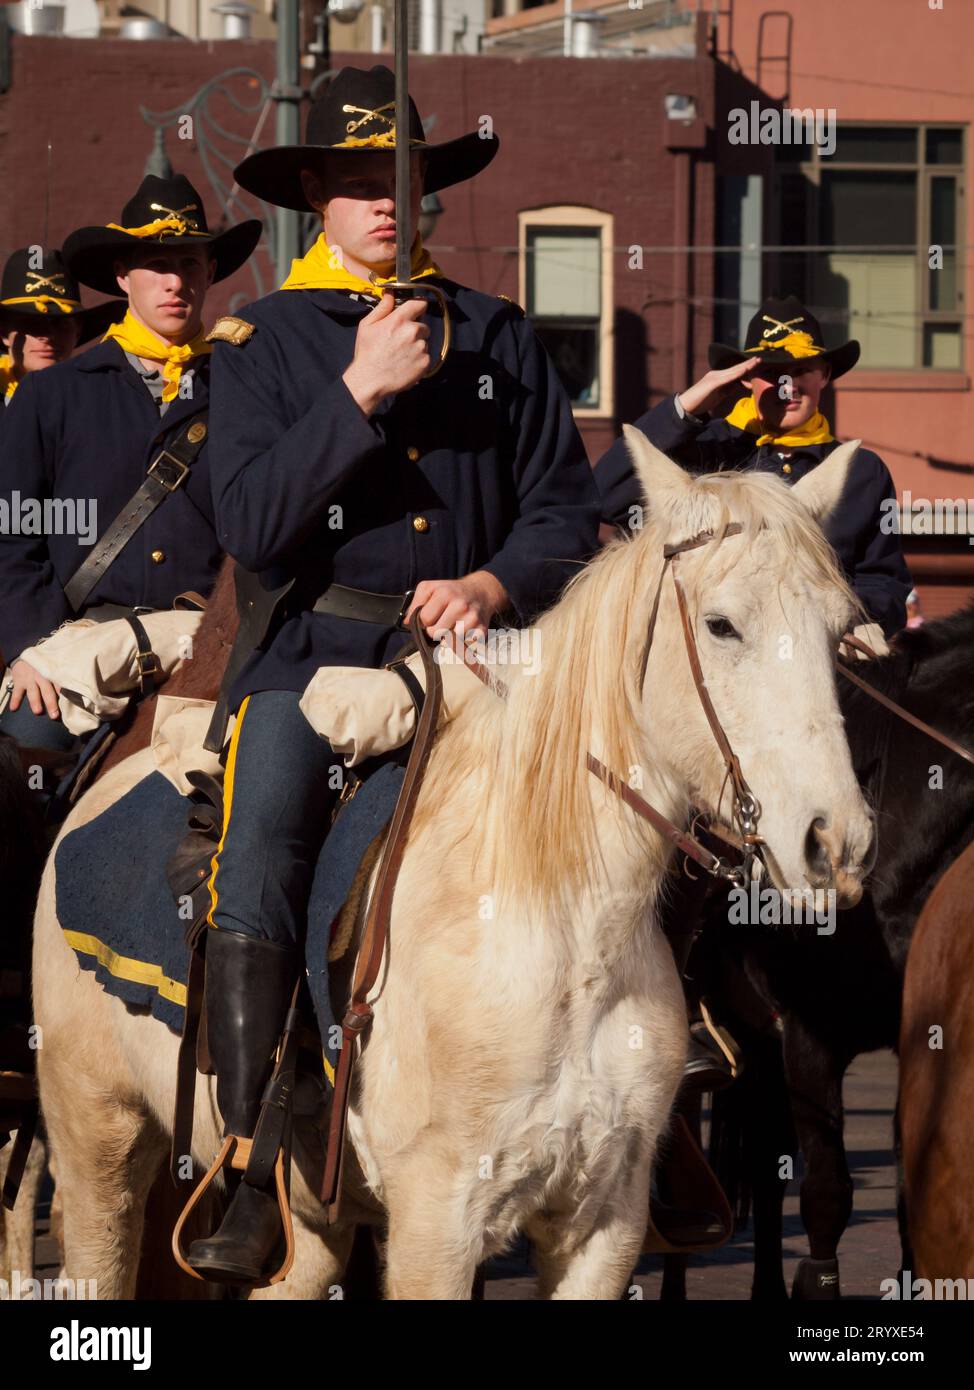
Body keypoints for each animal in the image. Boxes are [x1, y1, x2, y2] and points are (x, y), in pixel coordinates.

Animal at [36, 436, 872, 1301]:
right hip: (95, 1131)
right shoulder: (435, 1225)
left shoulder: (604, 1226)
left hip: (310, 1228)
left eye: (839, 630)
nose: (834, 841)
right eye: (721, 625)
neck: (570, 939)